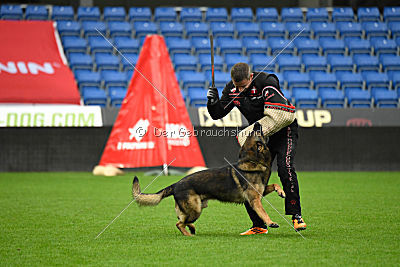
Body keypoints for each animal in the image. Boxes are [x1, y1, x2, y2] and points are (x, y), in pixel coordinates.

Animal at [133, 123, 286, 237]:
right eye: (256, 132)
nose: (257, 123)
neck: (253, 161)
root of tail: (176, 184)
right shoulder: (255, 200)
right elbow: (263, 212)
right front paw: (271, 222)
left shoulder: (261, 192)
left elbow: (274, 184)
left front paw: (281, 192)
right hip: (195, 209)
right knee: (179, 223)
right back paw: (188, 235)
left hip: (198, 208)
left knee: (183, 220)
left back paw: (192, 229)